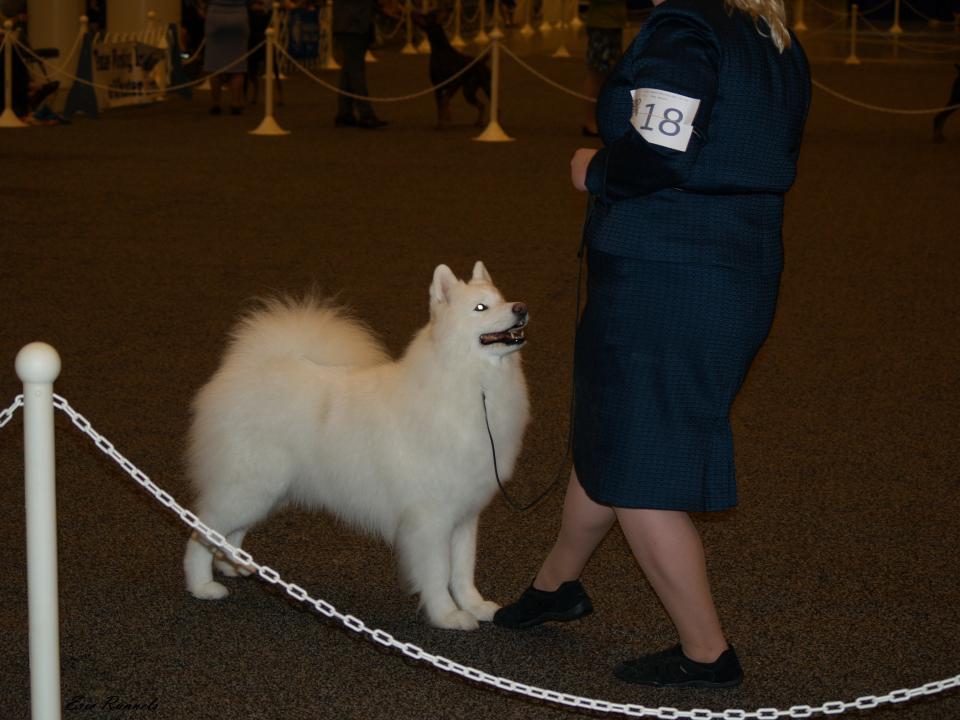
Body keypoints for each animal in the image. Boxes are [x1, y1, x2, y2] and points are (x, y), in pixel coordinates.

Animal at [186, 260, 532, 632]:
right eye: (481, 308)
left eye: (502, 298)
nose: (521, 308)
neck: (473, 385)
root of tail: (250, 367)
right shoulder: (431, 519)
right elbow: (438, 572)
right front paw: (447, 615)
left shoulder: (465, 516)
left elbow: (464, 571)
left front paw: (475, 606)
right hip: (249, 487)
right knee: (201, 532)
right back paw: (201, 586)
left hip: (266, 492)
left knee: (229, 532)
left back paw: (234, 564)